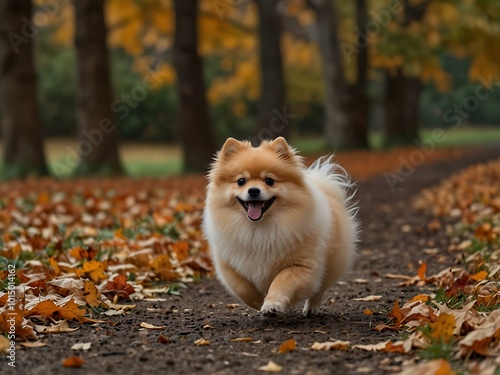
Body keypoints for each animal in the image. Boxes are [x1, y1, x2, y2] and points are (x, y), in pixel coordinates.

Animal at [201, 138, 358, 318]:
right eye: (241, 181)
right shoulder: (229, 266)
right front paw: (258, 302)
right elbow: (243, 288)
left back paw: (311, 308)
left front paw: (272, 304)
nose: (253, 190)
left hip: (331, 265)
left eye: (269, 180)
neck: (258, 229)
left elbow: (282, 282)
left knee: (319, 289)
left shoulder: (300, 266)